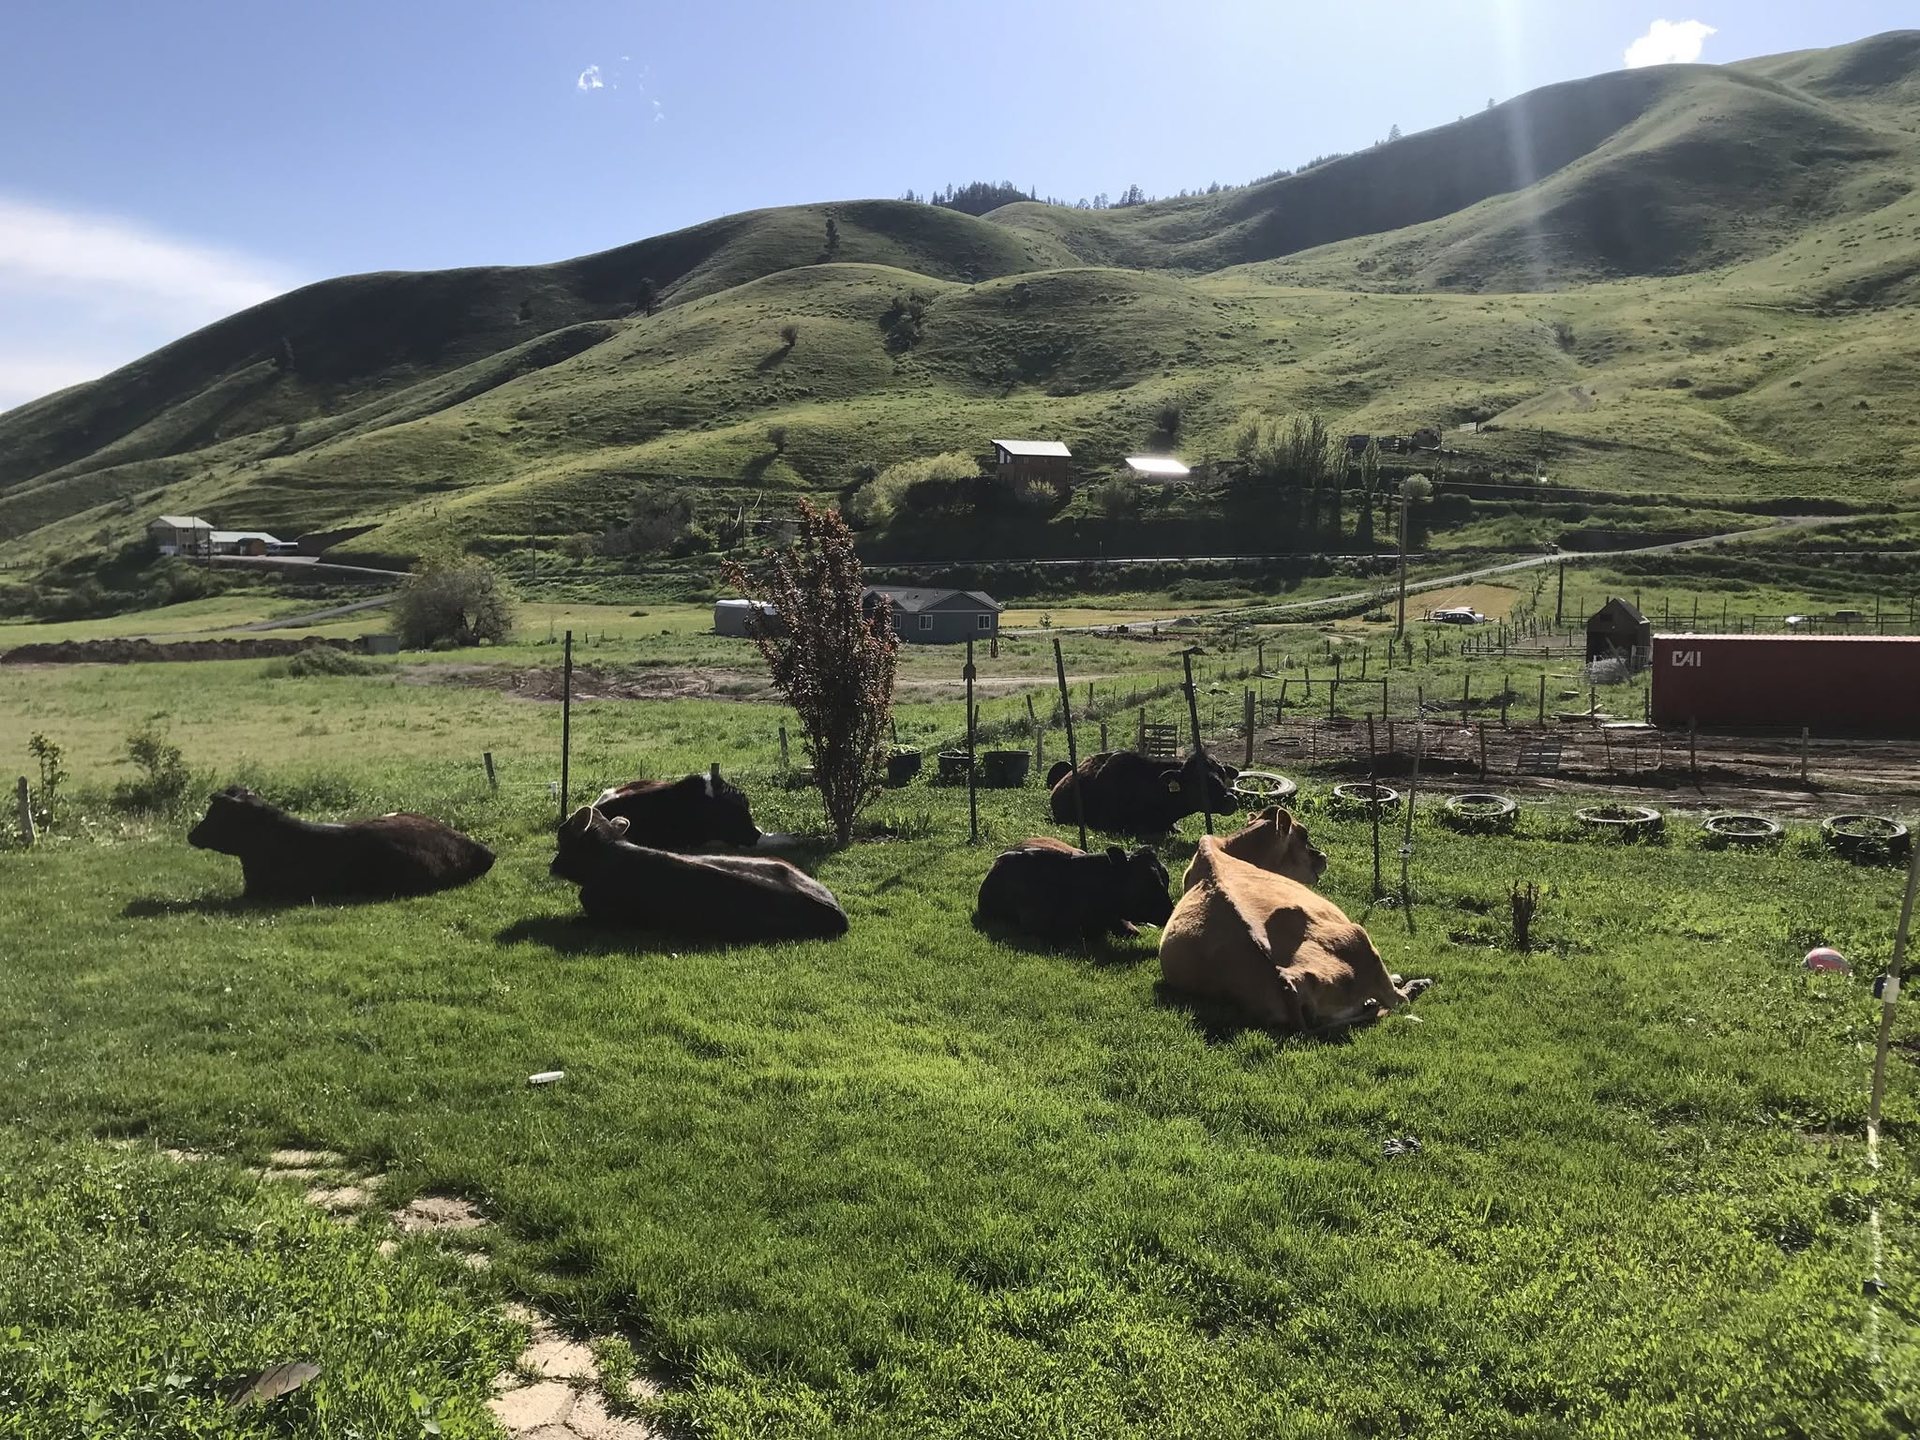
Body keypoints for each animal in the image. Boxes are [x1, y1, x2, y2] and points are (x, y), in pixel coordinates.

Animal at [1158, 807, 1429, 1034]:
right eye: (1303, 835)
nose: (1322, 856)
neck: (1225, 848)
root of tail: (1286, 977)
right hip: (1357, 934)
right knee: (1398, 1000)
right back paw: (1417, 984)